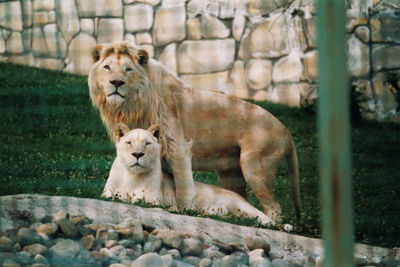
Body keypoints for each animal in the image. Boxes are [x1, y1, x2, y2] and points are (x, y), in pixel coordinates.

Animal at [101, 124, 276, 226]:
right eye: (129, 142)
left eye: (147, 143)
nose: (137, 154)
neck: (133, 177)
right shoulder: (106, 193)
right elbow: (111, 196)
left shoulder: (153, 200)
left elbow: (140, 200)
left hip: (242, 205)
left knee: (263, 216)